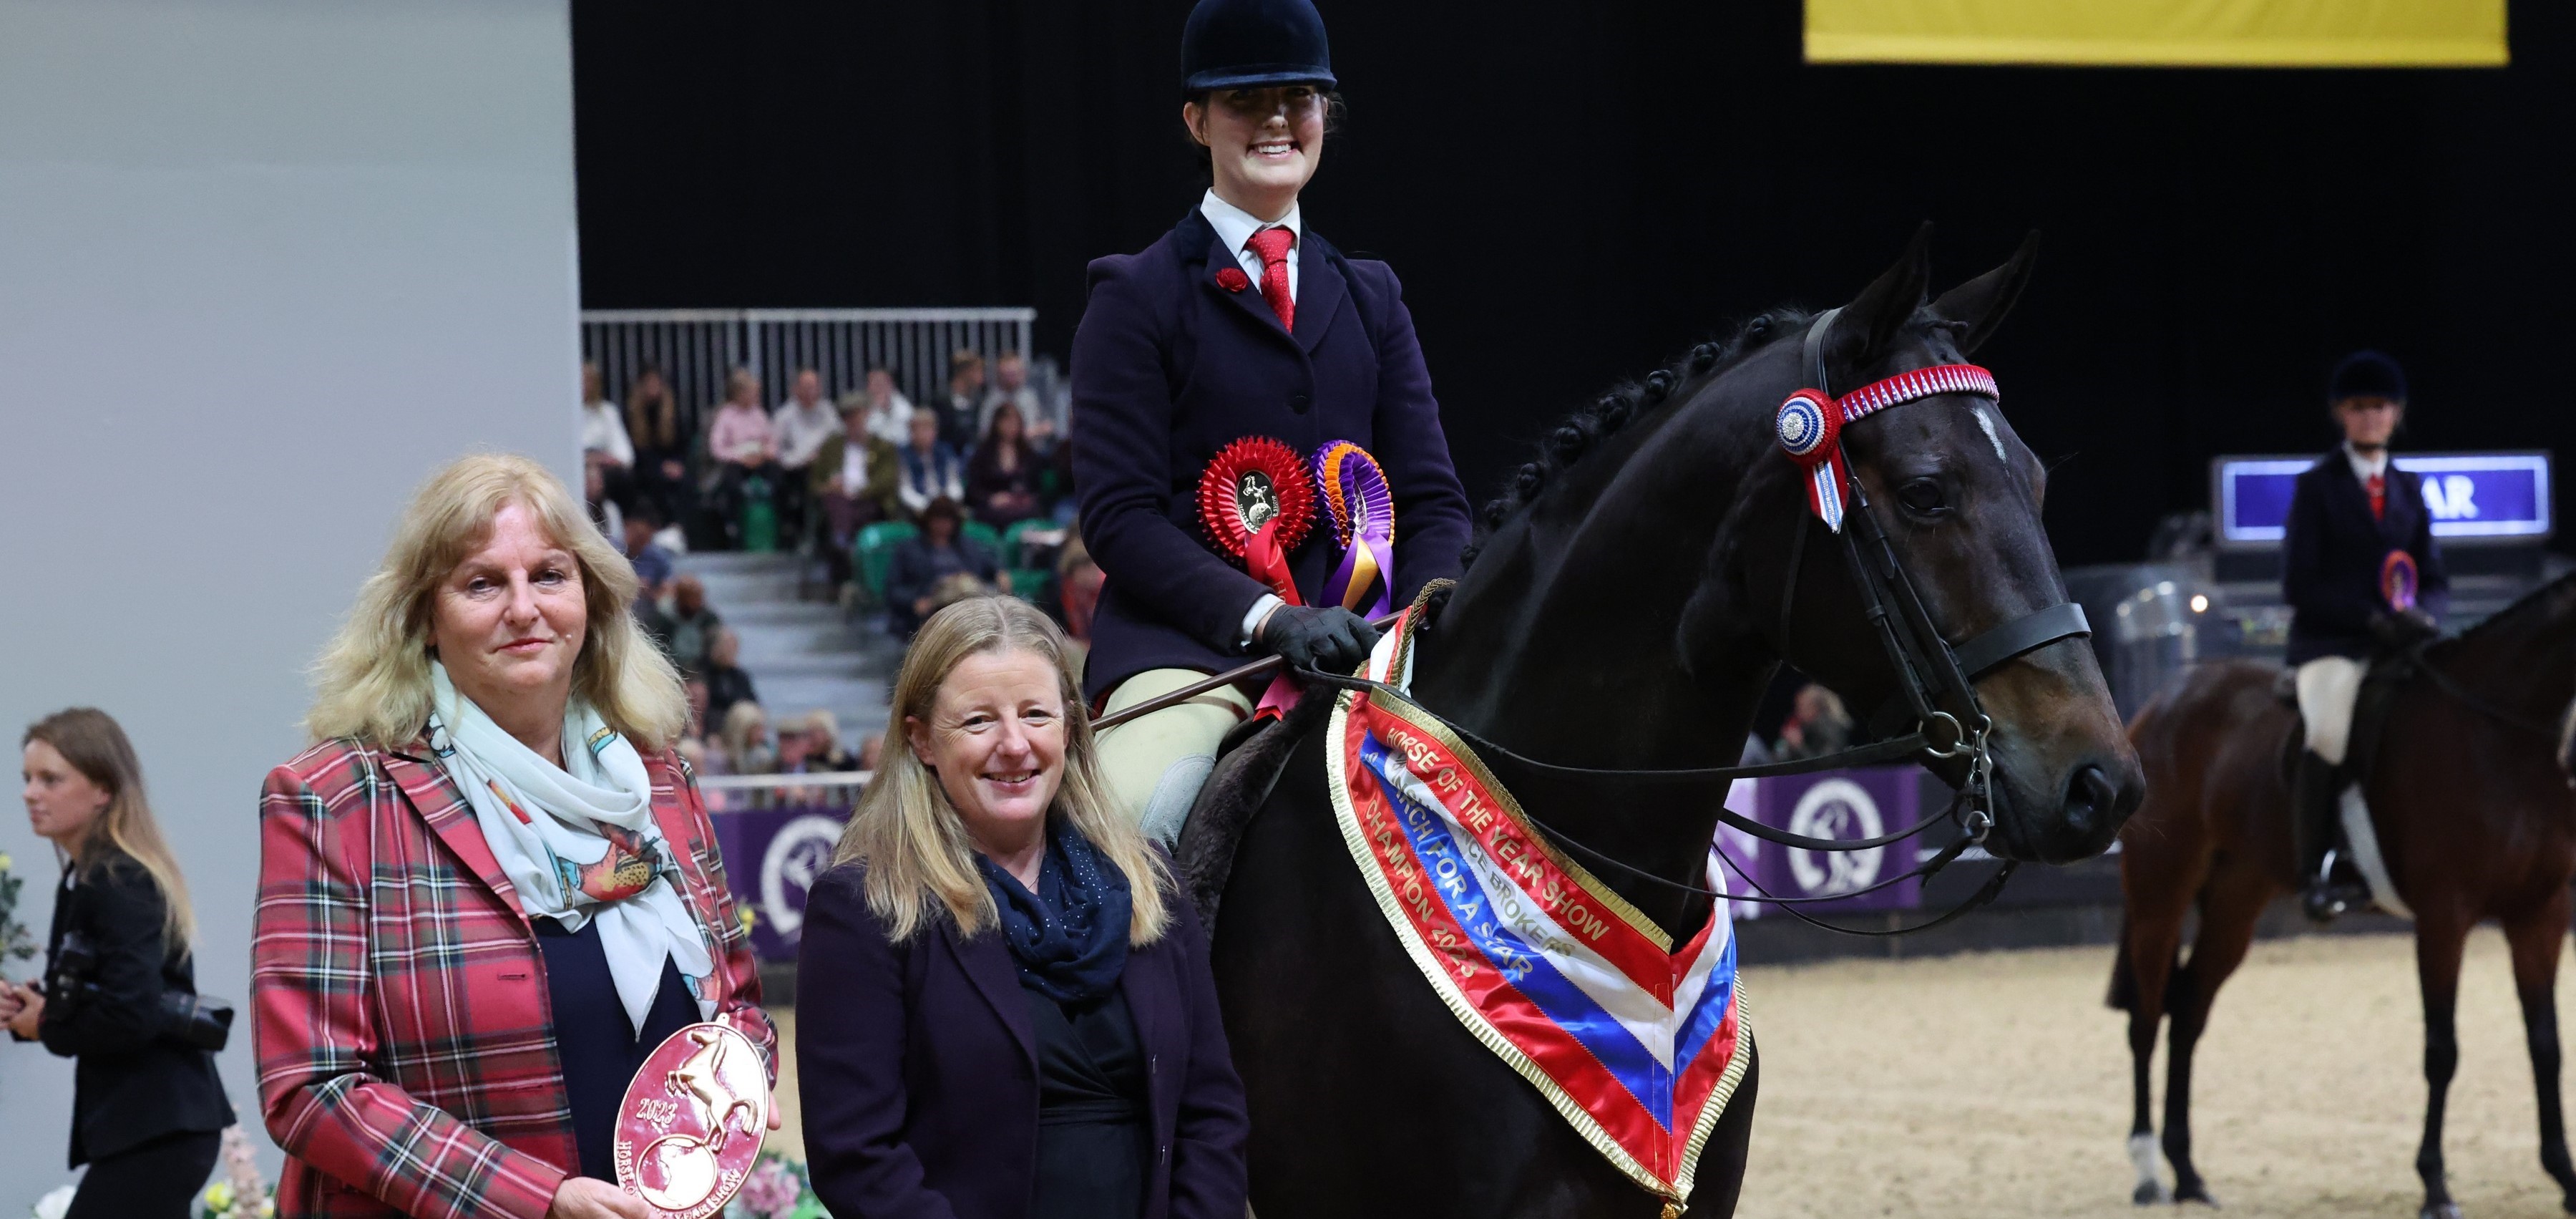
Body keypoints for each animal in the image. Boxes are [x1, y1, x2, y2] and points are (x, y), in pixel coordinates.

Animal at [2112, 574, 2576, 1216]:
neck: (2502, 737)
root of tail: (2168, 697)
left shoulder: (2540, 912)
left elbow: (2547, 1045)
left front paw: (2565, 1177)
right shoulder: (2444, 915)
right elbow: (2442, 1050)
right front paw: (2435, 1184)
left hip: (2236, 899)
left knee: (2187, 1012)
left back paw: (2189, 1174)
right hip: (2161, 892)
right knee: (2147, 1017)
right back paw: (2148, 1173)